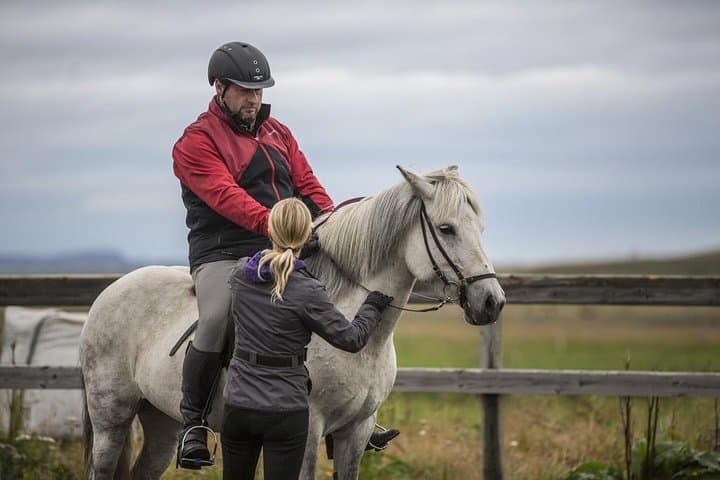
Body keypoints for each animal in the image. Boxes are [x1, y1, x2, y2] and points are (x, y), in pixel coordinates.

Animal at [79, 165, 505, 480]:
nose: (492, 301)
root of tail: (108, 293)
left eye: (481, 229)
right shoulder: (307, 429)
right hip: (111, 421)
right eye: (447, 228)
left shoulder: (356, 431)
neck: (357, 331)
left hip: (162, 423)